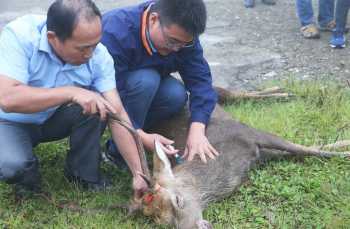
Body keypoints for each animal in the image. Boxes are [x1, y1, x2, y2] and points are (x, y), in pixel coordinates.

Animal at [125, 87, 348, 228]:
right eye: (165, 224)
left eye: (178, 200)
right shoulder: (261, 154)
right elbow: (309, 148)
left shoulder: (250, 133)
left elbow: (310, 149)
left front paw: (345, 150)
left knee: (236, 93)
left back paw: (286, 92)